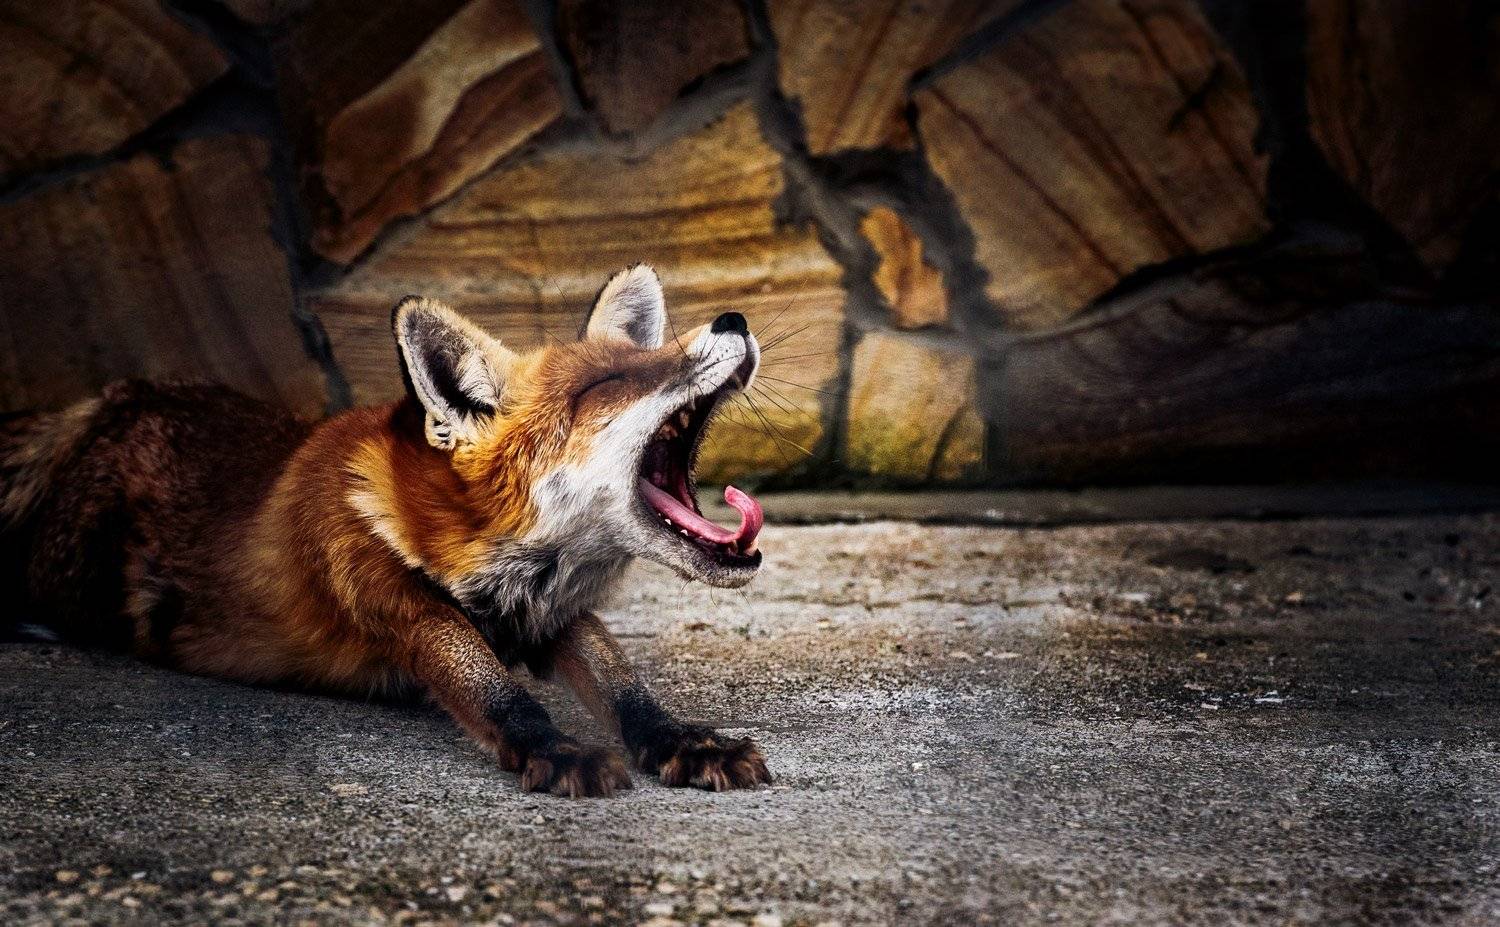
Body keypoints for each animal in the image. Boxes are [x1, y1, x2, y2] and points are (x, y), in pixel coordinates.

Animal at [0, 264, 772, 797]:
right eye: (605, 385)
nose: (735, 317)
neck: (472, 548)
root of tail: (121, 394)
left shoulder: (552, 613)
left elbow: (622, 683)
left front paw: (682, 740)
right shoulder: (396, 599)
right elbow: (494, 689)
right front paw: (555, 750)